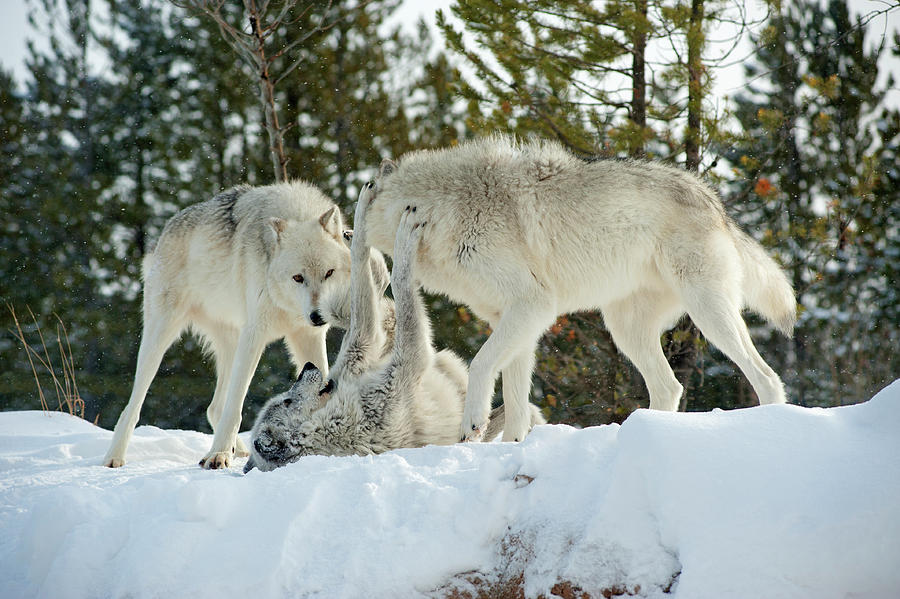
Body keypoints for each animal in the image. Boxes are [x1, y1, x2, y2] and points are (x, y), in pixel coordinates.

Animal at [103, 180, 374, 472]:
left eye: (329, 273)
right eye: (298, 278)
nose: (318, 317)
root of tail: (163, 234)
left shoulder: (308, 336)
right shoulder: (254, 336)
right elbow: (236, 405)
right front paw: (218, 454)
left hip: (230, 345)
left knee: (214, 407)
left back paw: (239, 448)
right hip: (161, 337)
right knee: (134, 406)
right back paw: (114, 458)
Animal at [243, 185, 544, 476]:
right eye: (286, 402)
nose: (306, 367)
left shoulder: (354, 358)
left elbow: (363, 307)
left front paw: (360, 224)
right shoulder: (402, 372)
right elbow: (401, 282)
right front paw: (402, 235)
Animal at [362, 137, 800, 446]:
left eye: (365, 189)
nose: (350, 229)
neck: (443, 209)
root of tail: (714, 201)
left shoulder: (533, 305)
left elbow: (481, 364)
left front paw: (472, 424)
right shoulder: (516, 320)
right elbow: (517, 401)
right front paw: (513, 447)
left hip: (709, 316)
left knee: (765, 376)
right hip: (626, 331)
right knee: (670, 386)